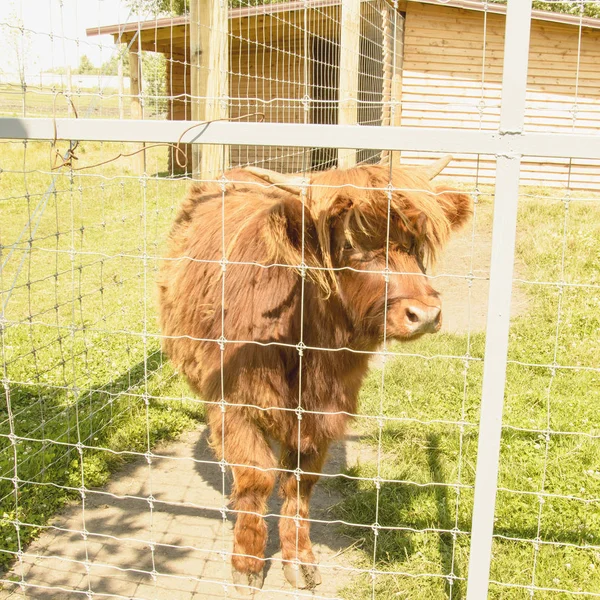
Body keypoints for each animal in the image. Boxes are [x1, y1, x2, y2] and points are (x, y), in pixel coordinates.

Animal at [158, 157, 474, 592]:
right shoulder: (234, 400)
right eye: (351, 245)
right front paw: (247, 565)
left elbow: (299, 483)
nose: (425, 315)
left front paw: (300, 560)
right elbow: (256, 478)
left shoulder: (324, 410)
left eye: (413, 242)